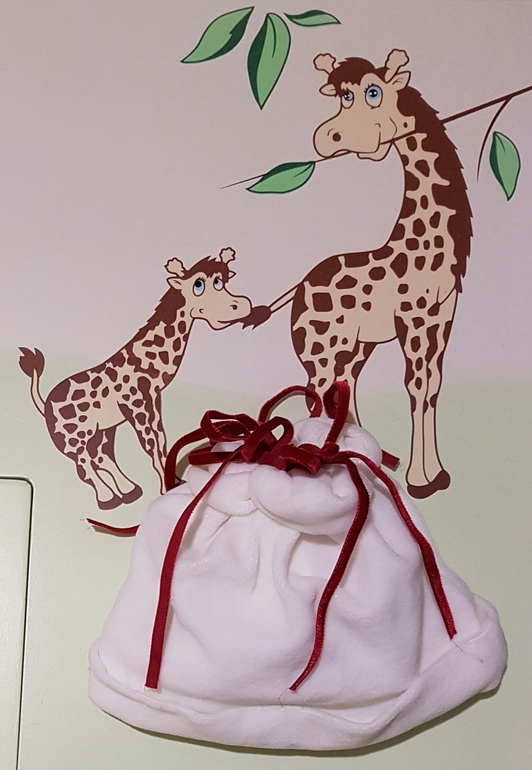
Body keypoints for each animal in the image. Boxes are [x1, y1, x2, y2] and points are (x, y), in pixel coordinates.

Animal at [19, 248, 252, 510]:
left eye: (222, 281)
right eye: (198, 284)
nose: (241, 305)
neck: (145, 361)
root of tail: (45, 404)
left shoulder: (153, 399)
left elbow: (161, 442)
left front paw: (175, 482)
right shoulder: (136, 403)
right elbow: (150, 444)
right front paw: (165, 487)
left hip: (102, 430)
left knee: (101, 457)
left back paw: (129, 491)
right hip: (73, 436)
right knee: (85, 463)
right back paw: (107, 499)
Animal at [249, 49, 472, 499]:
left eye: (373, 92)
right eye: (341, 96)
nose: (325, 138)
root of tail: (299, 288)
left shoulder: (443, 314)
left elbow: (432, 385)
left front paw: (436, 474)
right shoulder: (413, 316)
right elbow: (416, 385)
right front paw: (419, 481)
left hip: (353, 346)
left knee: (342, 393)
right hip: (320, 347)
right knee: (318, 397)